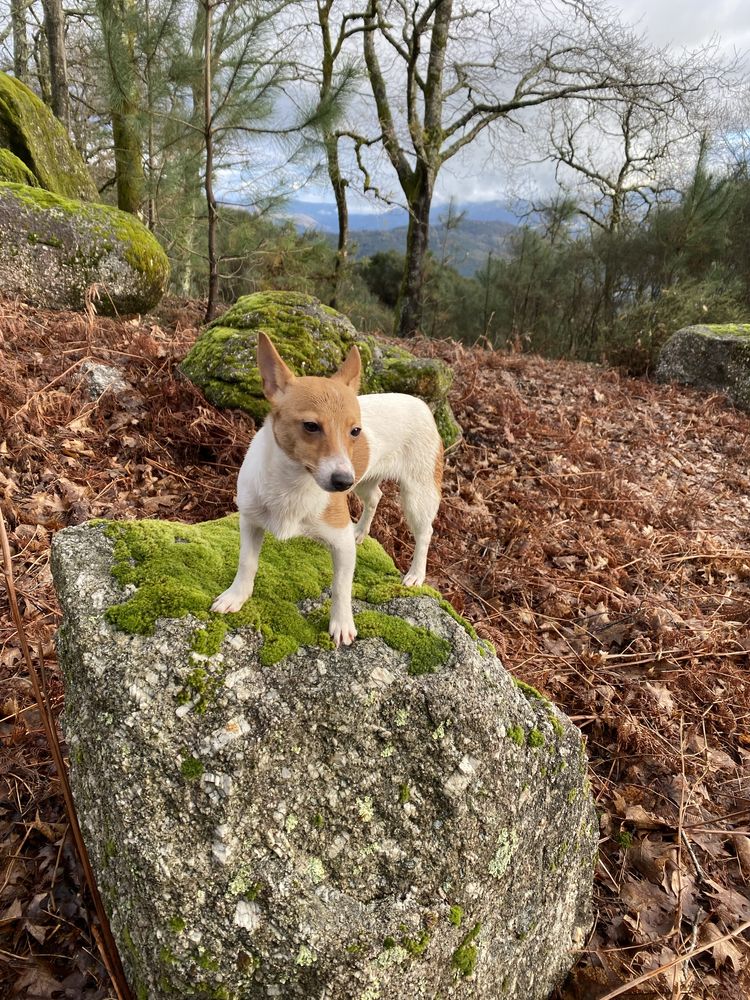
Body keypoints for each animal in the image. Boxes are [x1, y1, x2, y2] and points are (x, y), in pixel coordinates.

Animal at [212, 334, 444, 648]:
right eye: (311, 426)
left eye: (355, 431)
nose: (342, 481)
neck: (294, 484)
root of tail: (420, 403)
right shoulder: (250, 522)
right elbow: (247, 562)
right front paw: (237, 596)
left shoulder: (341, 544)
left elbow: (342, 587)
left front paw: (342, 623)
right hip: (364, 481)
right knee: (375, 498)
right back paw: (361, 531)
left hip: (416, 495)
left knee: (424, 533)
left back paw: (416, 573)